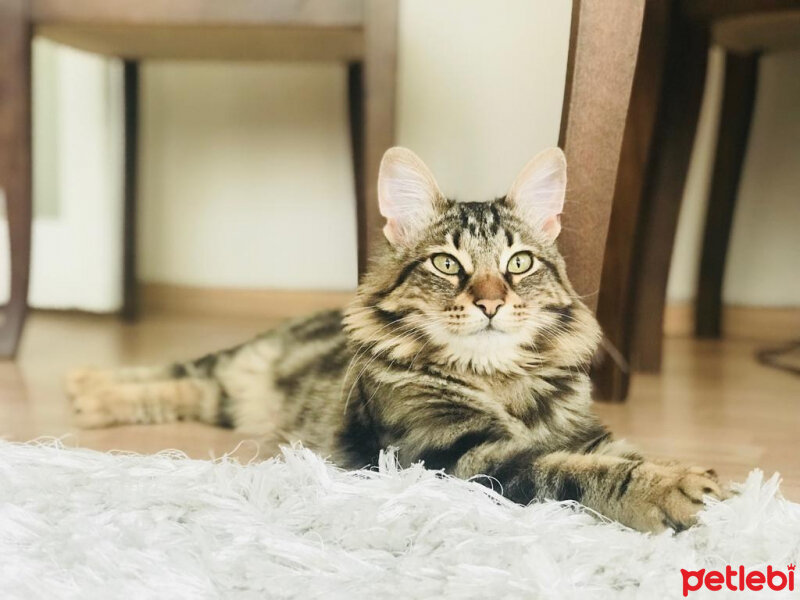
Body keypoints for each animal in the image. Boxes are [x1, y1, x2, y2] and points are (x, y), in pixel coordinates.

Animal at [69, 148, 728, 532]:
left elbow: (622, 454)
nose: (491, 303)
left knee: (179, 388)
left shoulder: (587, 431)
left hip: (233, 398)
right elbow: (569, 472)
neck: (500, 379)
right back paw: (86, 389)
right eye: (446, 263)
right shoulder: (458, 452)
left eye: (517, 263)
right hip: (238, 368)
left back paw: (90, 396)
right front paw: (676, 490)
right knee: (175, 371)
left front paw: (714, 486)